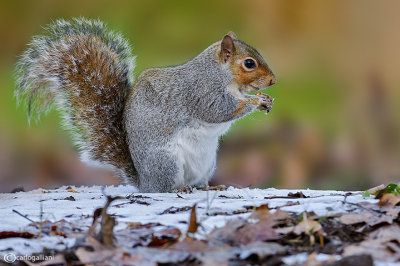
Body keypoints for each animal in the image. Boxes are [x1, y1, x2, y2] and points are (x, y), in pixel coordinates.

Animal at [14, 18, 276, 191]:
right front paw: (255, 101)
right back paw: (177, 189)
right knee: (163, 188)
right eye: (249, 63)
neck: (221, 74)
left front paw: (265, 99)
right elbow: (219, 111)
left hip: (208, 163)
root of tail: (143, 181)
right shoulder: (202, 92)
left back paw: (207, 187)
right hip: (166, 161)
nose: (273, 81)